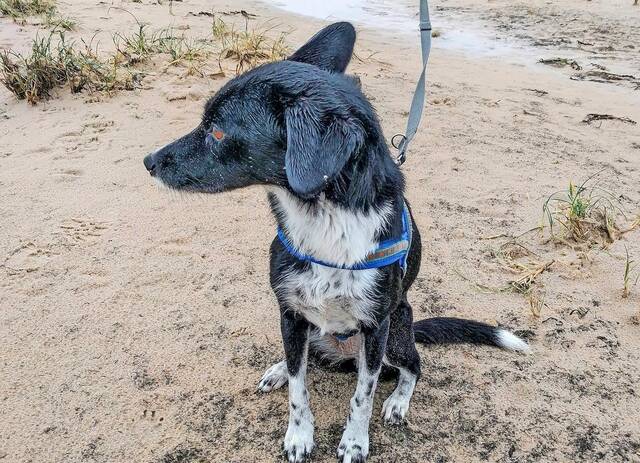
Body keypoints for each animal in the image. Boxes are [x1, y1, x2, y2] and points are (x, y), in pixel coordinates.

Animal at [143, 22, 528, 463]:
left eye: (218, 130)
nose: (149, 161)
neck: (323, 219)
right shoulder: (290, 314)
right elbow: (299, 387)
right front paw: (298, 435)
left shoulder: (376, 328)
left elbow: (363, 395)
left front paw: (355, 442)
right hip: (310, 329)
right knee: (304, 360)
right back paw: (280, 368)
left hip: (397, 332)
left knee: (413, 365)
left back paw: (398, 401)